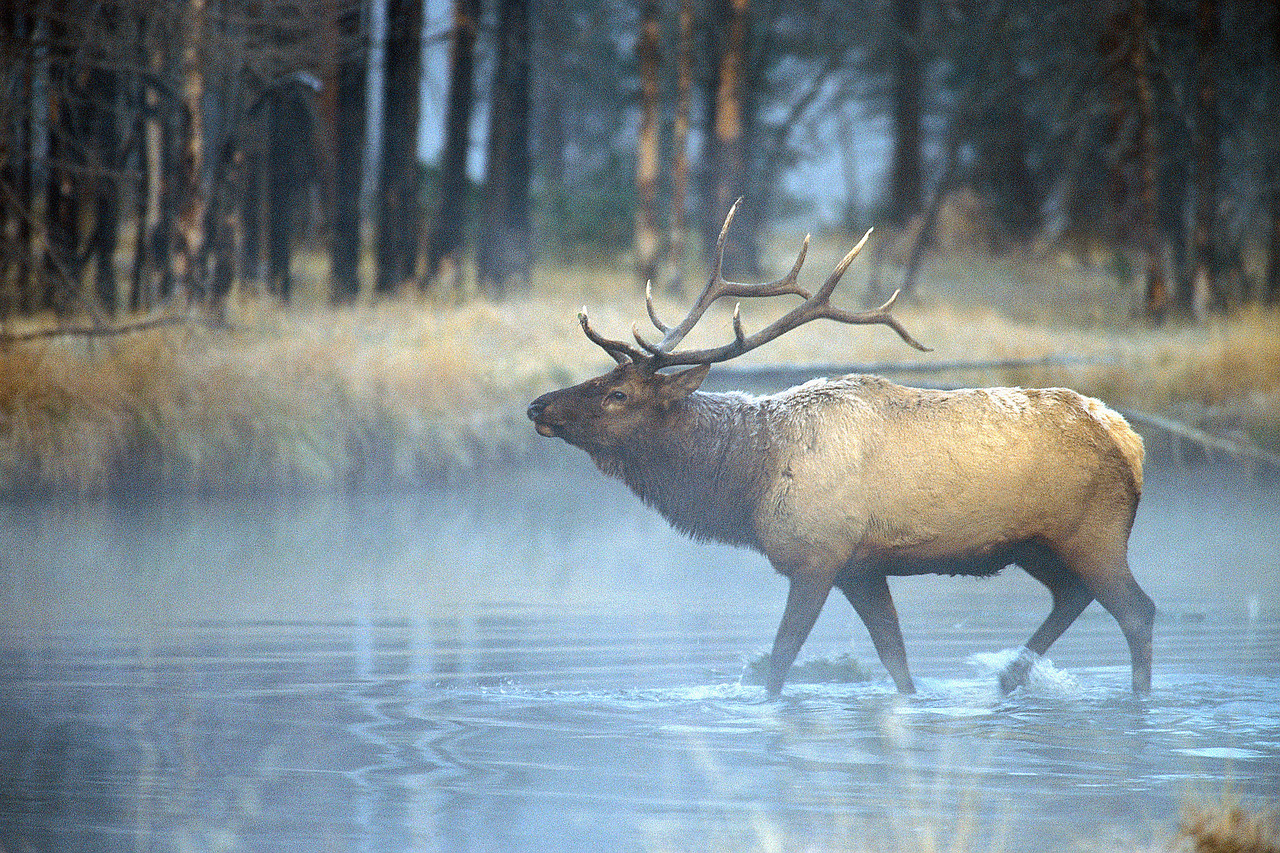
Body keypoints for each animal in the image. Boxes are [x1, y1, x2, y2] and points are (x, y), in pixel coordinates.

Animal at [524, 201, 1157, 696]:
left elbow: (780, 660)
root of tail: (1127, 436)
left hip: (1093, 530)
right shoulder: (862, 566)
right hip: (1037, 544)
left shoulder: (817, 554)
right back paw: (1008, 677)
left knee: (1136, 611)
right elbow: (896, 661)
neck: (749, 481)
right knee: (1072, 595)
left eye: (618, 393)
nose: (537, 407)